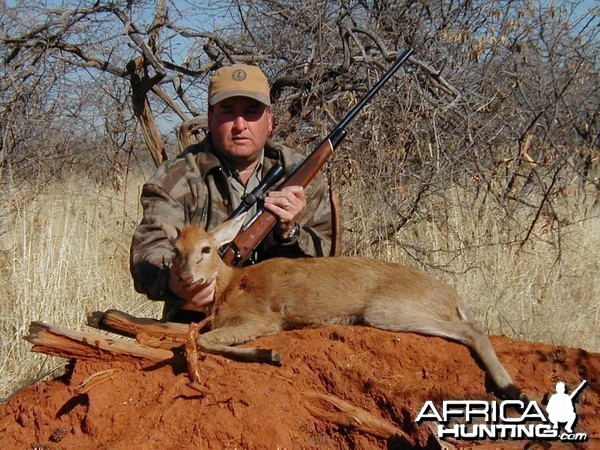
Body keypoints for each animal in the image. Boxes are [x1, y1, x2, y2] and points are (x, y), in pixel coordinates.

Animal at [162, 215, 524, 400]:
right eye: (176, 249)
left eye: (207, 248)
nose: (188, 277)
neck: (231, 283)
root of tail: (451, 295)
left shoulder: (263, 320)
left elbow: (202, 340)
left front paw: (271, 354)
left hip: (386, 311)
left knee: (472, 328)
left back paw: (511, 389)